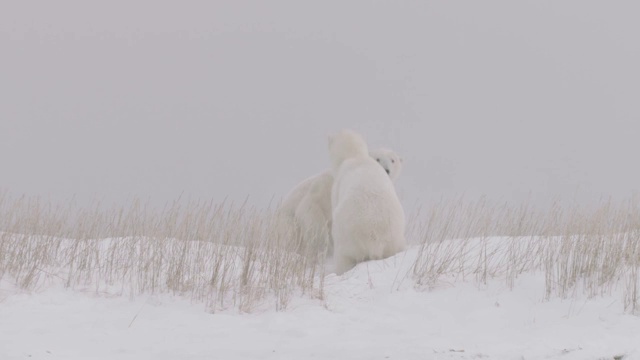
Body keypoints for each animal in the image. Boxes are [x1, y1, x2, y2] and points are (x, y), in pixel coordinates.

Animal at [330, 131, 404, 274]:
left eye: (392, 160)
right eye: (378, 159)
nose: (387, 169)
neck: (357, 157)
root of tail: (374, 237)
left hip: (348, 236)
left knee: (344, 258)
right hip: (393, 238)